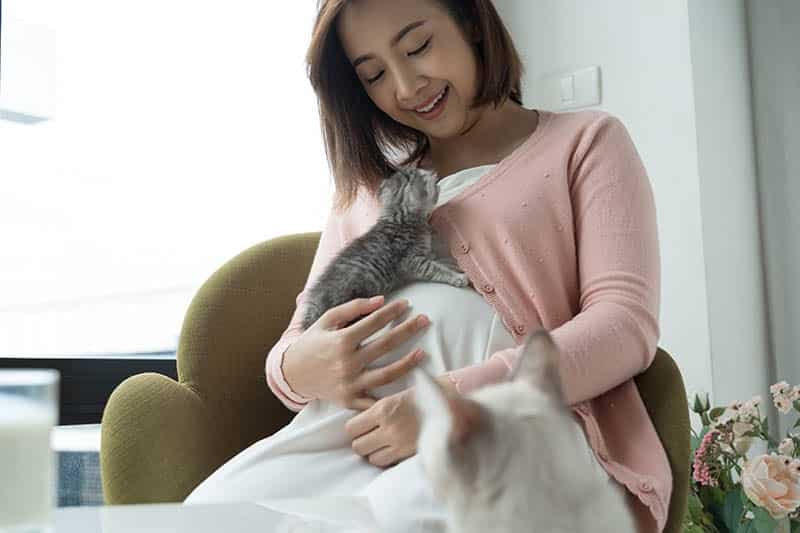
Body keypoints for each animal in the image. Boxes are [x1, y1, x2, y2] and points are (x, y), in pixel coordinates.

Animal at [304, 168, 472, 330]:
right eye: (435, 188)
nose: (435, 176)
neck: (400, 218)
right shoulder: (411, 259)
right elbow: (434, 269)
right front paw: (457, 277)